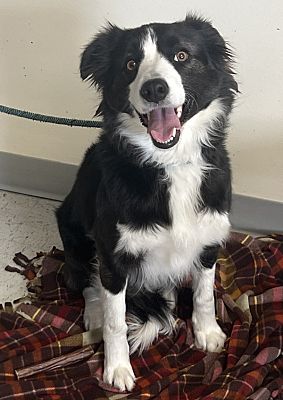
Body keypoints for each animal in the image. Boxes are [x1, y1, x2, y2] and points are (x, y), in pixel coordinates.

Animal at [56, 14, 239, 390]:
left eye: (182, 56)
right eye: (130, 64)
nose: (154, 88)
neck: (170, 163)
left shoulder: (209, 239)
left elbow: (204, 293)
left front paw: (207, 332)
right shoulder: (114, 256)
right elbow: (116, 319)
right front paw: (117, 369)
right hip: (74, 231)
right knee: (85, 281)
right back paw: (94, 311)